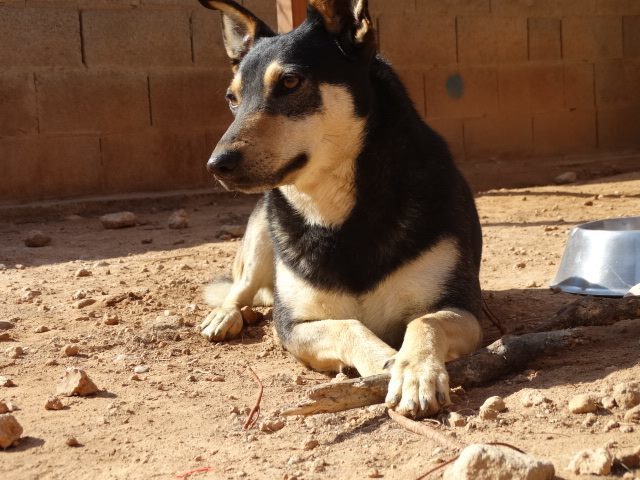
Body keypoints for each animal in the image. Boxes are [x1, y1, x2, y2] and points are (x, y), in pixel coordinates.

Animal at [197, 0, 483, 418]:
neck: (341, 218)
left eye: (290, 82)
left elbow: (425, 323)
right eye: (232, 98)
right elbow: (347, 325)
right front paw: (387, 362)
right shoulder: (294, 325)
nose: (216, 165)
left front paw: (415, 372)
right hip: (261, 234)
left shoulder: (463, 308)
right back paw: (226, 315)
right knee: (241, 287)